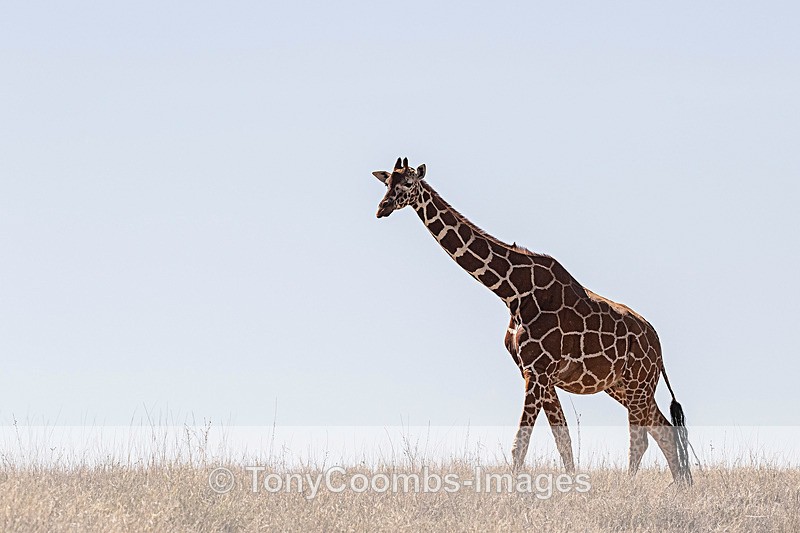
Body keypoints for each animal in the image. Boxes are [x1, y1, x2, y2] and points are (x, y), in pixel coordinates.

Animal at [372, 157, 692, 485]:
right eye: (386, 183)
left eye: (408, 183)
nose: (382, 207)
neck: (513, 291)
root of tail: (658, 347)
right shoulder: (535, 372)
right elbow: (563, 440)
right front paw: (571, 488)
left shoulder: (538, 371)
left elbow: (520, 445)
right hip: (623, 386)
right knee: (662, 430)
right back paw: (678, 488)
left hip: (638, 382)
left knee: (645, 437)